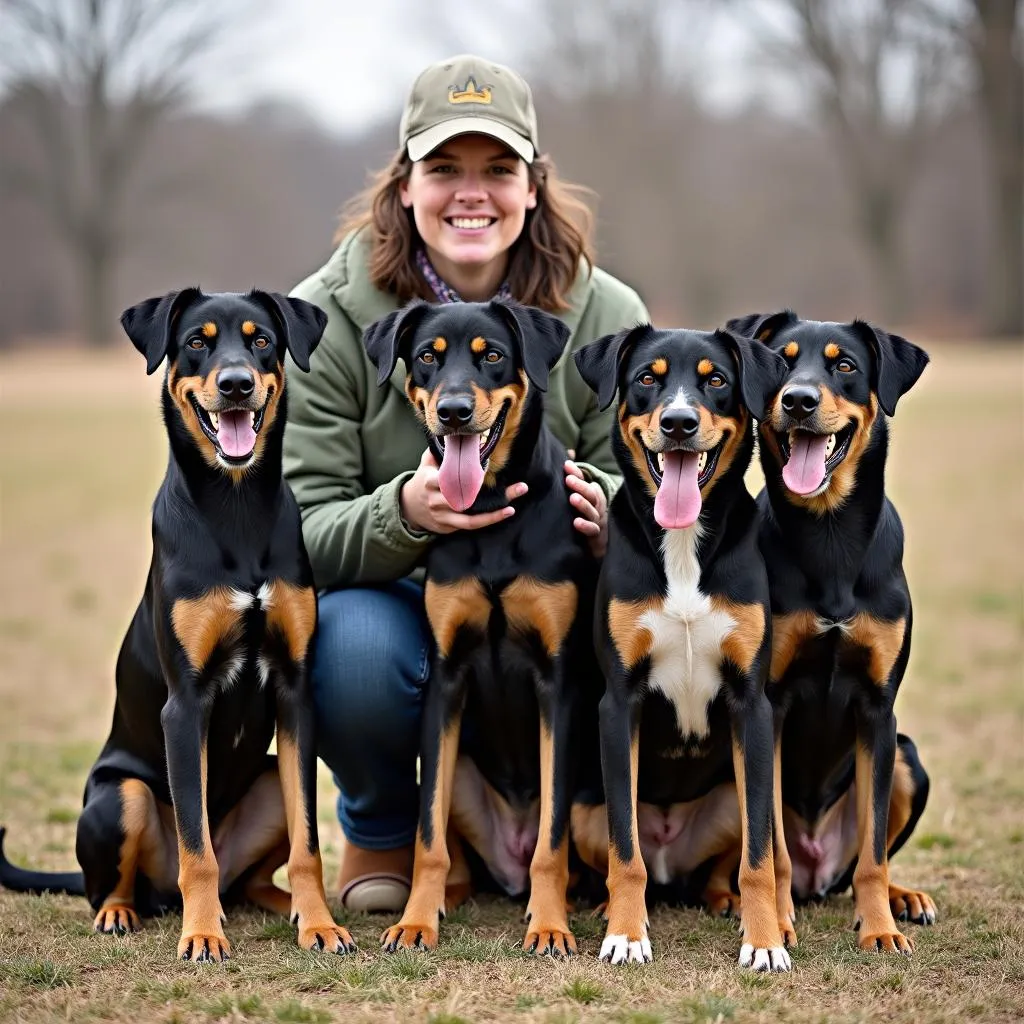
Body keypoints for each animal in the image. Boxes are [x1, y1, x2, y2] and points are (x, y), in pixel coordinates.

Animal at [0, 292, 356, 962]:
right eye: (196, 342)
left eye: (261, 340)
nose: (237, 384)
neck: (236, 504)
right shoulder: (186, 705)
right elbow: (198, 847)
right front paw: (203, 936)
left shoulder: (295, 693)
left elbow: (308, 846)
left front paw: (321, 925)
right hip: (119, 797)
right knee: (123, 881)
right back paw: (123, 914)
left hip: (266, 780)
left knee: (247, 878)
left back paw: (286, 909)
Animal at [362, 299, 598, 954]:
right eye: (427, 356)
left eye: (491, 354)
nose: (453, 412)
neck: (490, 511)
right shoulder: (447, 679)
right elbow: (428, 835)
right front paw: (415, 920)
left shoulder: (559, 684)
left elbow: (552, 840)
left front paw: (550, 926)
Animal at [569, 323, 790, 970]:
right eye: (648, 377)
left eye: (715, 380)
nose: (679, 422)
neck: (684, 545)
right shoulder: (620, 703)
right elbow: (624, 850)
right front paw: (625, 934)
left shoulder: (751, 703)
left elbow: (759, 858)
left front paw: (763, 942)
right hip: (583, 805)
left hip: (729, 799)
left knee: (727, 862)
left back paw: (725, 901)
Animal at [729, 309, 937, 950]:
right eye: (783, 363)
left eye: (844, 365)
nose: (797, 400)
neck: (828, 534)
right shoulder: (770, 703)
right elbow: (770, 846)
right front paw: (775, 923)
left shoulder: (878, 709)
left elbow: (873, 853)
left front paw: (880, 930)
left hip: (907, 758)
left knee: (861, 863)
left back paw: (903, 898)